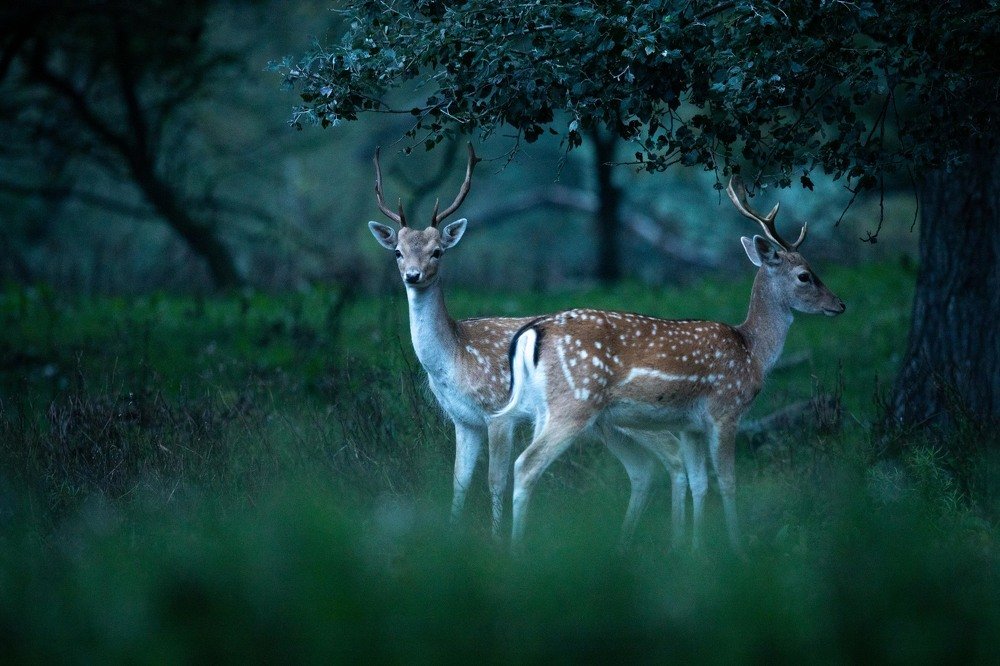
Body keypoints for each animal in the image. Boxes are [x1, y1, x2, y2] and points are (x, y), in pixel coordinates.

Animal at [367, 144, 688, 546]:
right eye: (397, 251)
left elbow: (495, 481)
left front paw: (496, 539)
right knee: (650, 465)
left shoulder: (496, 411)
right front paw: (452, 537)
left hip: (637, 412)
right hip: (606, 421)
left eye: (438, 250)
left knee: (673, 451)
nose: (413, 275)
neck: (454, 359)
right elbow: (458, 482)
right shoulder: (463, 421)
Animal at [498, 176, 846, 551]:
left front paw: (693, 549)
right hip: (575, 401)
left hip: (547, 409)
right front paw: (737, 547)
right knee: (526, 464)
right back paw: (516, 549)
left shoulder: (689, 425)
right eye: (804, 275)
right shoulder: (724, 409)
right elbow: (728, 482)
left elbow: (700, 483)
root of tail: (534, 331)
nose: (839, 304)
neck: (752, 350)